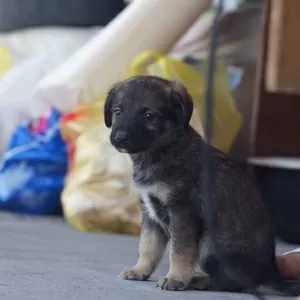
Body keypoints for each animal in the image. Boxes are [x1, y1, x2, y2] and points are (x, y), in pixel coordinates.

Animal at [103, 75, 300, 296]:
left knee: (238, 284)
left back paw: (202, 281)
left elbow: (179, 252)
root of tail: (270, 275)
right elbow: (148, 245)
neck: (160, 152)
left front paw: (175, 278)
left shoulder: (183, 213)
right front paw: (140, 270)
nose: (120, 138)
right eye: (118, 111)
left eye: (148, 115)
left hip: (208, 244)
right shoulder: (150, 213)